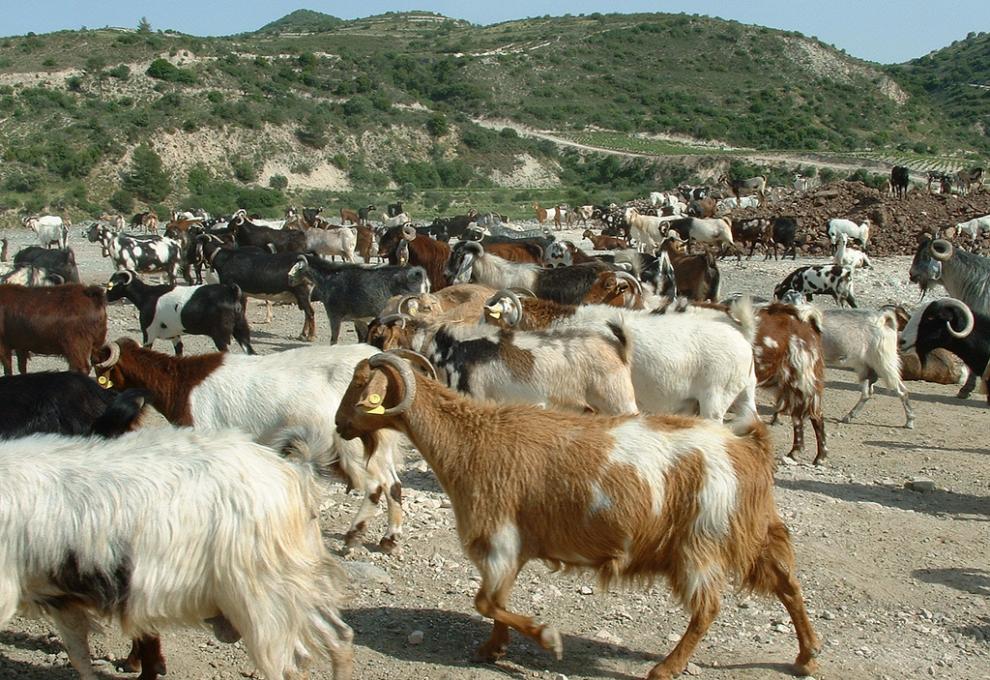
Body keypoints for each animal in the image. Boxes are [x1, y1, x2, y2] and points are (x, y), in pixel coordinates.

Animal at [340, 350, 820, 680]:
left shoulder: (499, 539)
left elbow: (486, 602)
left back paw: (666, 668)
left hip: (701, 544)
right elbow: (496, 604)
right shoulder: (512, 549)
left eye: (361, 386)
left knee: (708, 610)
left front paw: (546, 638)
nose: (341, 425)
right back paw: (806, 656)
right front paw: (492, 649)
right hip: (754, 534)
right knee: (789, 586)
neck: (471, 439)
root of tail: (749, 449)